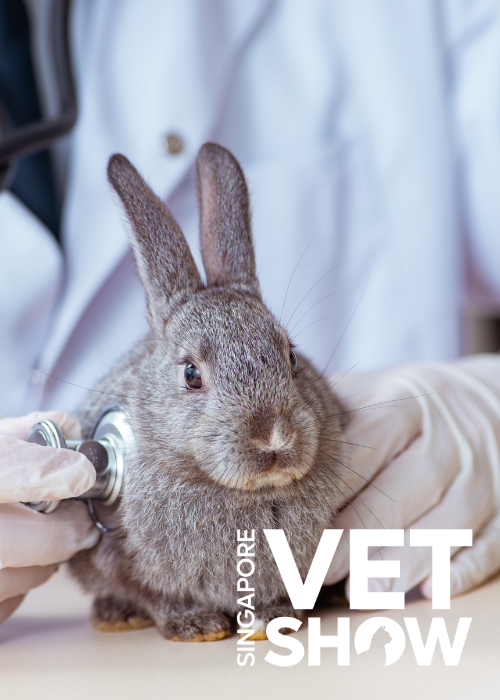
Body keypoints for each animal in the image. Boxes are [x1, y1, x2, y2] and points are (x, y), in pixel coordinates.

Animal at [69, 143, 348, 642]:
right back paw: (115, 616)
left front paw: (271, 620)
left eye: (291, 357)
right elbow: (153, 593)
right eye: (191, 374)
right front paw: (195, 626)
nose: (273, 437)